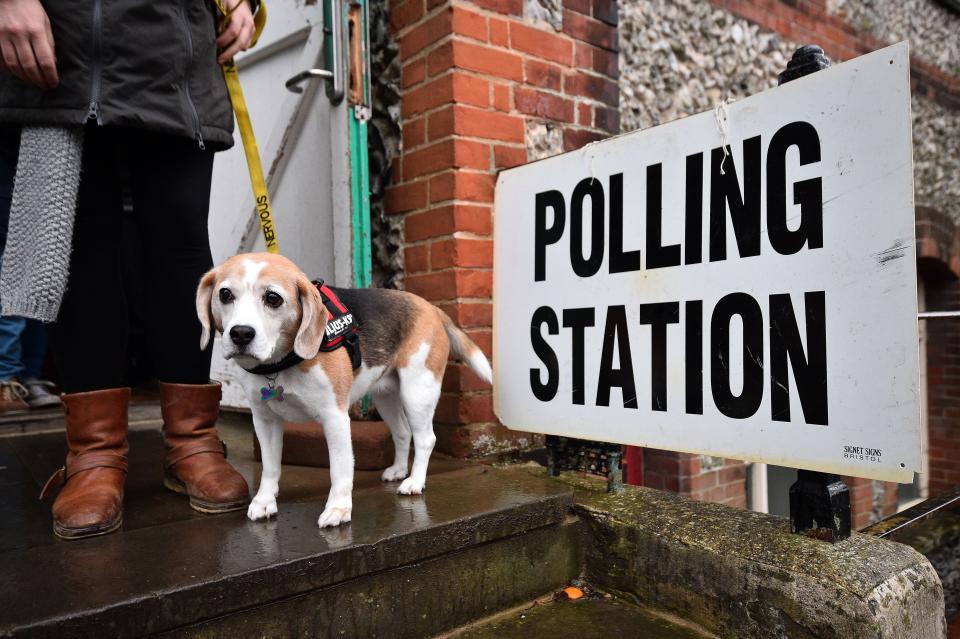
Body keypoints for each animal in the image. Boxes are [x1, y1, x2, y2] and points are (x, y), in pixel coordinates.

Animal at [196, 252, 496, 528]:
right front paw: (264, 501)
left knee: (425, 439)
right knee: (402, 432)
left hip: (418, 391)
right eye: (225, 294)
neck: (281, 362)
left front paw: (338, 510)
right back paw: (399, 470)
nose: (240, 334)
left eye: (273, 298)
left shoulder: (335, 417)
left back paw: (414, 482)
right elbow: (270, 467)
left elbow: (339, 469)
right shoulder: (264, 420)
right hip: (385, 396)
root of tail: (430, 307)